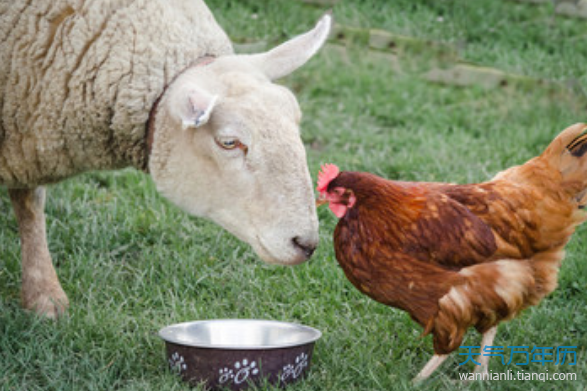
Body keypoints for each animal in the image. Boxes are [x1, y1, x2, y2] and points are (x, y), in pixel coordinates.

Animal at [0, 0, 330, 318]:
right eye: (229, 142)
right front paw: (45, 297)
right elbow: (32, 204)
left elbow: (29, 204)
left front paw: (42, 295)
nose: (305, 244)